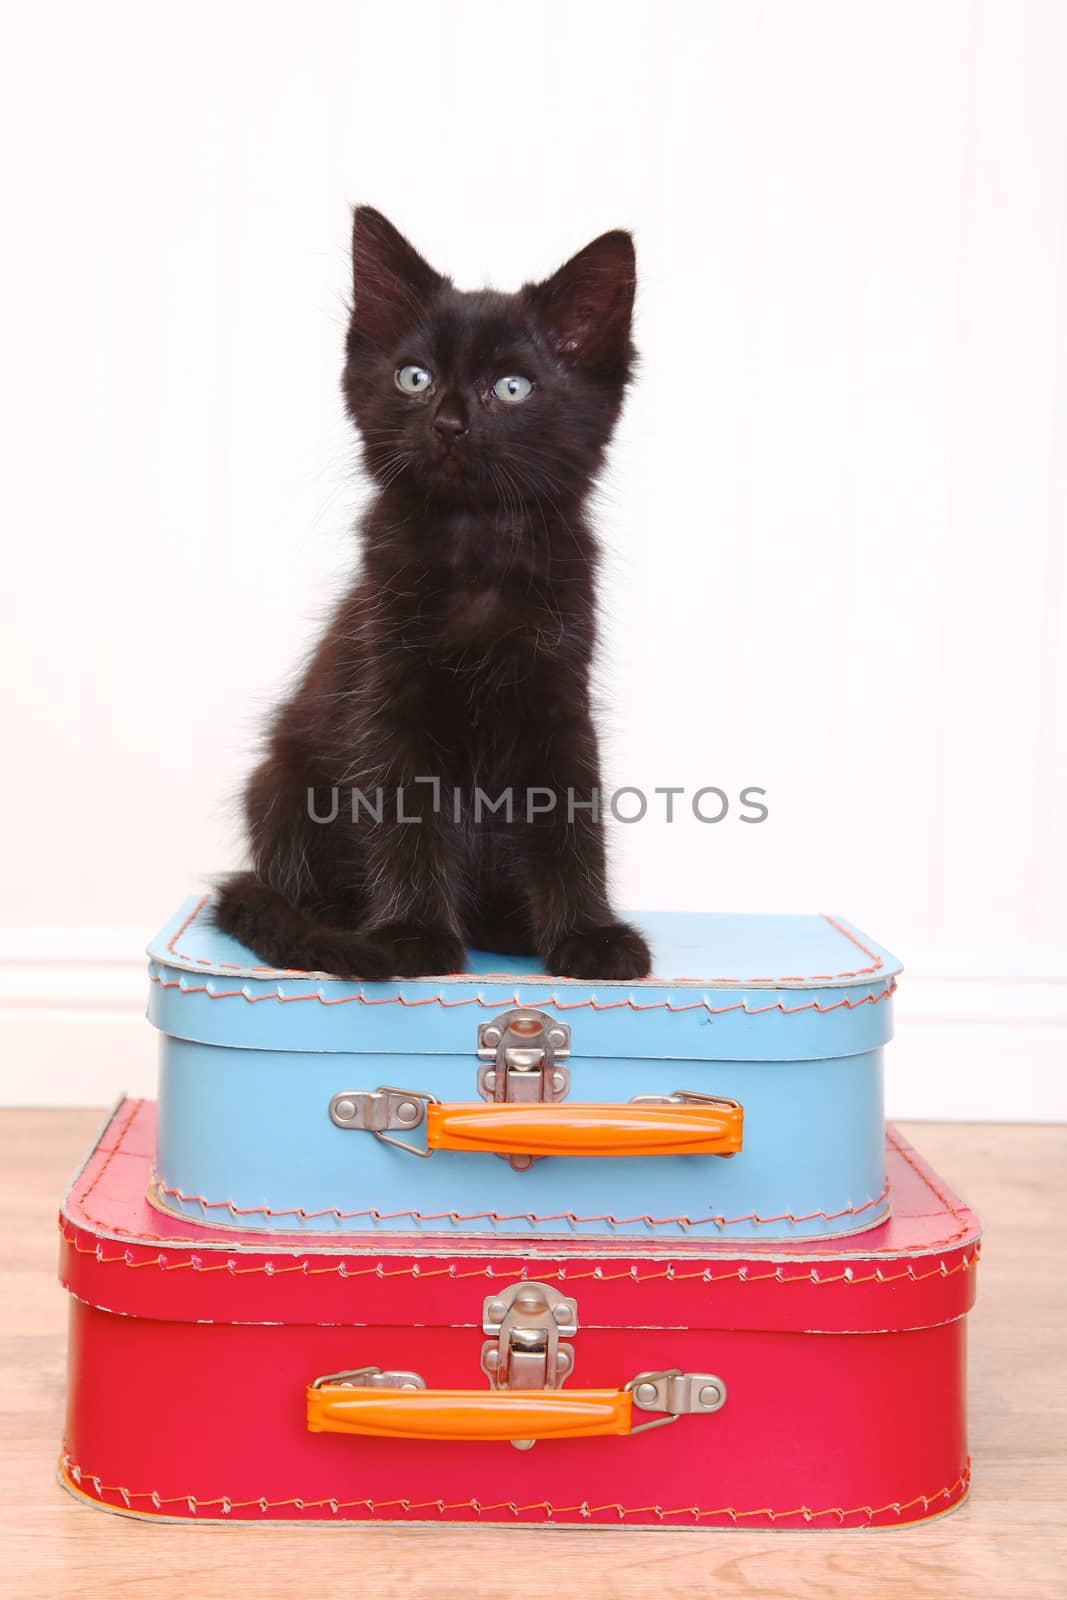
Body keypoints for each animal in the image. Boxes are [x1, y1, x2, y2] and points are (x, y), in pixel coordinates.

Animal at [212, 206, 652, 979]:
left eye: (511, 388)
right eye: (413, 378)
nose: (447, 424)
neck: (474, 546)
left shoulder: (559, 699)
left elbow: (572, 817)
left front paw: (589, 935)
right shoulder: (387, 700)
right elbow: (404, 814)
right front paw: (410, 935)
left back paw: (510, 926)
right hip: (279, 781)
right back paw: (339, 918)